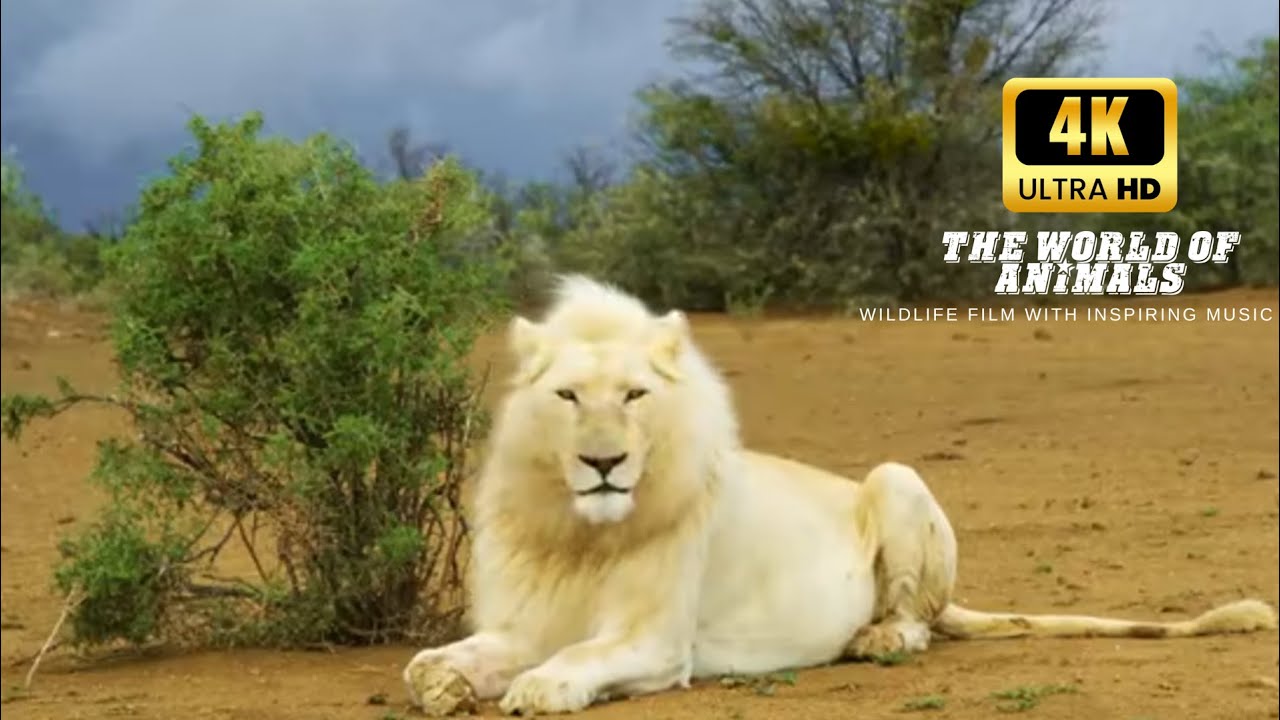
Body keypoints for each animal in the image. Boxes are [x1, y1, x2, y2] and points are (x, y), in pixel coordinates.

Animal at [403, 275, 1277, 716]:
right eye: (568, 399)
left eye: (635, 396)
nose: (604, 463)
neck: (580, 530)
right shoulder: (525, 620)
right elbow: (442, 660)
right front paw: (443, 680)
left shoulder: (656, 644)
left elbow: (579, 657)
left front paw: (537, 688)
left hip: (897, 477)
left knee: (918, 621)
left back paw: (876, 639)